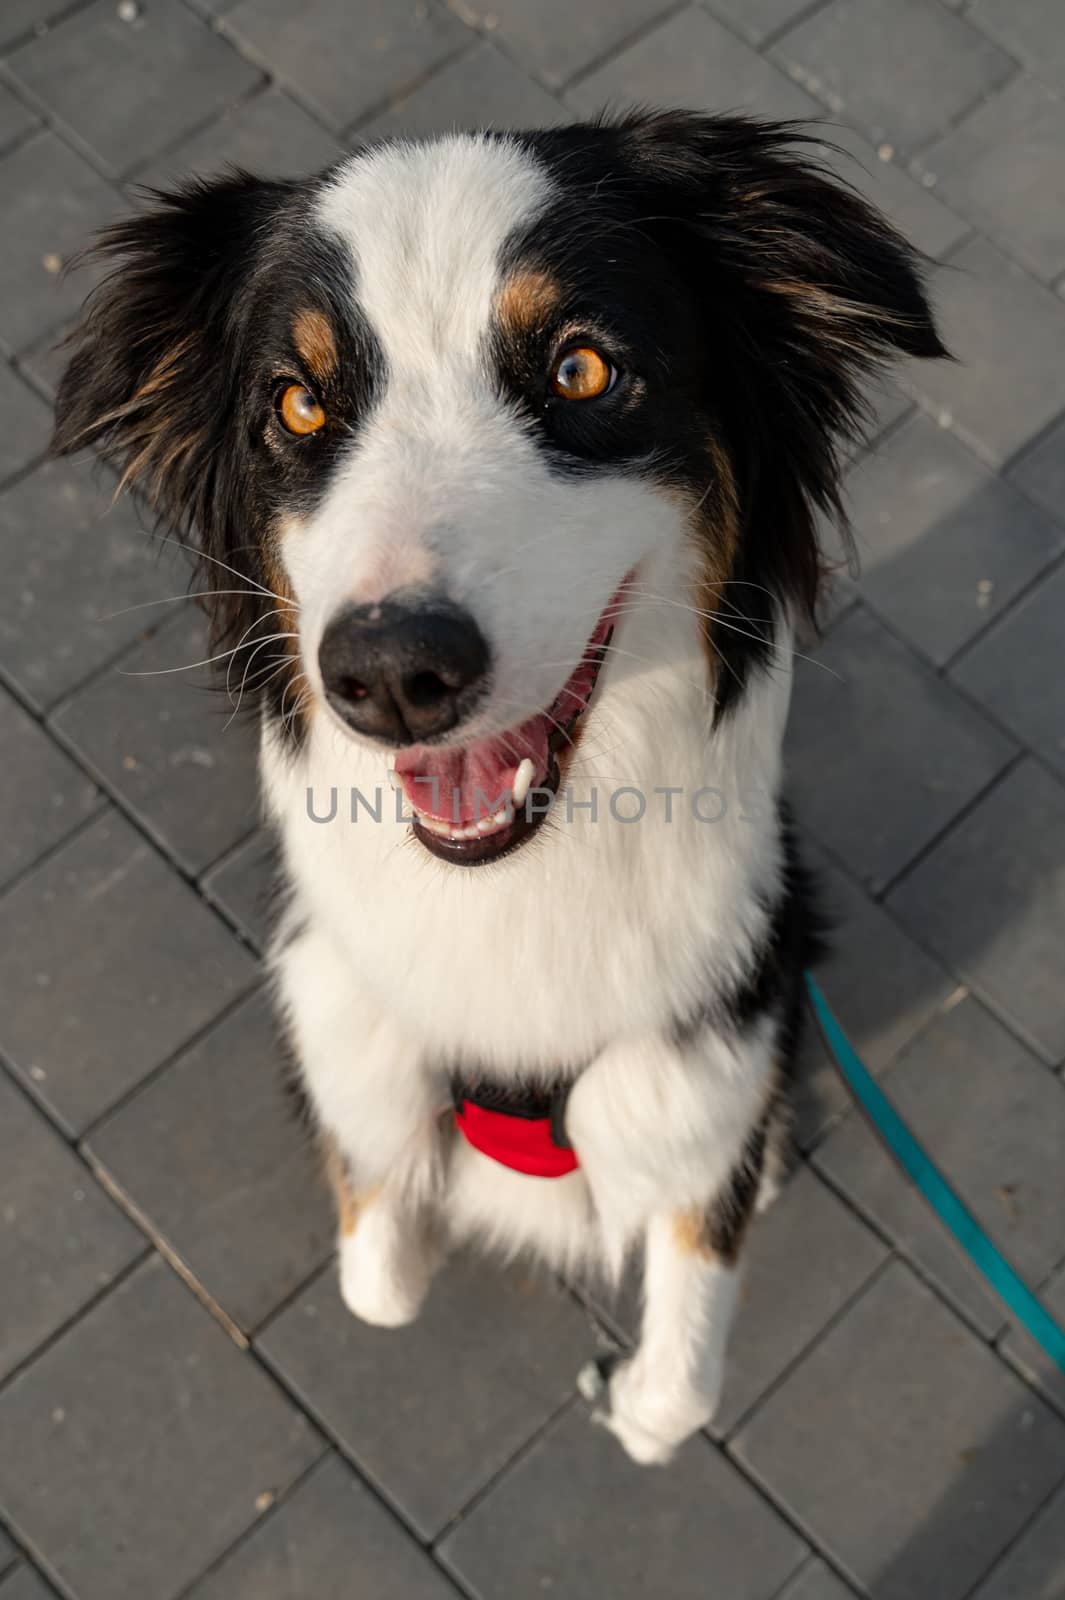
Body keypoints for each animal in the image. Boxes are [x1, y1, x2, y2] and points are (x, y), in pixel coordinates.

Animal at [53, 112, 940, 1465]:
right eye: (298, 401)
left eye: (580, 370)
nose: (391, 675)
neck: (517, 894)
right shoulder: (345, 1028)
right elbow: (378, 1274)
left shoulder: (705, 1057)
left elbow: (677, 1383)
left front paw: (625, 1394)